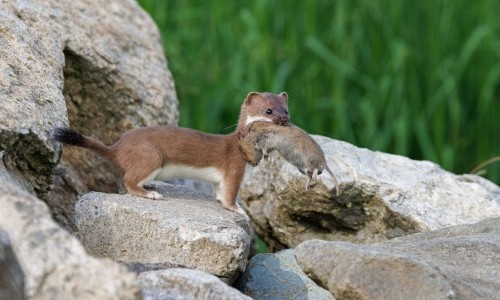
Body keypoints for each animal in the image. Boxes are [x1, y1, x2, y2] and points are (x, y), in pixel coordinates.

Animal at [52, 91, 290, 213]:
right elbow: (230, 193)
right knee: (128, 181)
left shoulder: (221, 179)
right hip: (151, 156)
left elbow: (219, 192)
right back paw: (151, 193)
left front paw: (221, 201)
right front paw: (238, 209)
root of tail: (118, 146)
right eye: (268, 111)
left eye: (286, 110)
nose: (284, 120)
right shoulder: (234, 168)